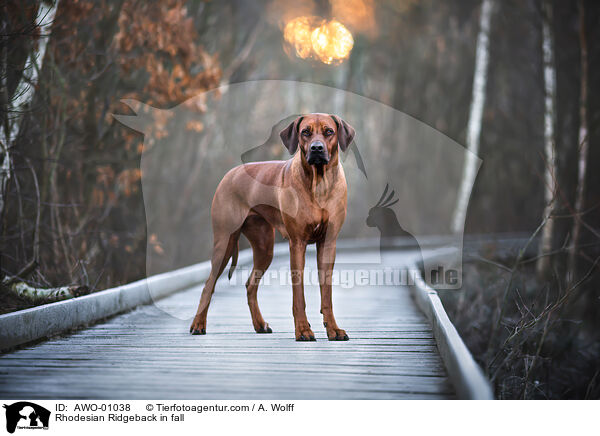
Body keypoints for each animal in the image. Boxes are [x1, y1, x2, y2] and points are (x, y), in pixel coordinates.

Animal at [190, 114, 354, 342]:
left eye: (329, 132)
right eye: (305, 132)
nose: (317, 148)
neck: (319, 183)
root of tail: (230, 173)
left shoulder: (328, 243)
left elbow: (327, 294)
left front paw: (333, 329)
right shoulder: (297, 244)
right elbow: (298, 295)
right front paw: (303, 330)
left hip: (264, 246)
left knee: (250, 285)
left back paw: (260, 324)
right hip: (224, 242)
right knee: (208, 285)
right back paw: (198, 325)